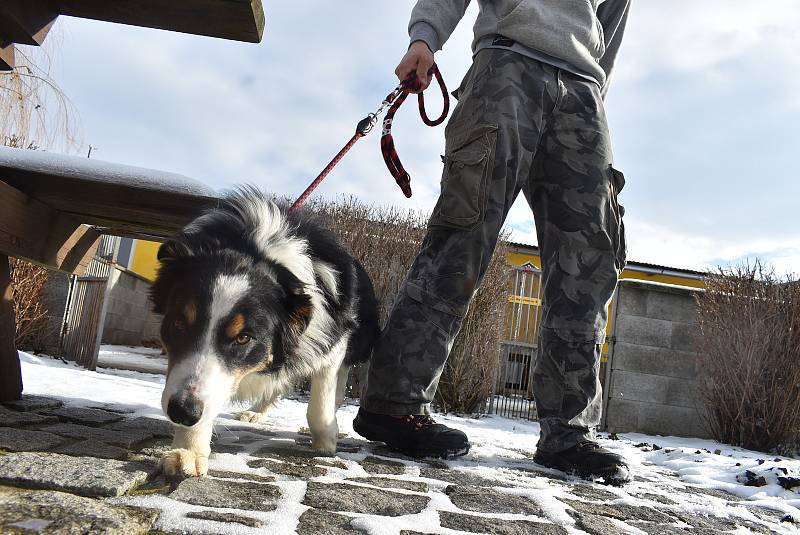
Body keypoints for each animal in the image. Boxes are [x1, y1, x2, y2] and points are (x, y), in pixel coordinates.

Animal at [151, 188, 382, 478]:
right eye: (179, 322)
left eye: (243, 338)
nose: (182, 412)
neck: (257, 248)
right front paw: (189, 451)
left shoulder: (331, 341)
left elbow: (320, 403)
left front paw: (326, 441)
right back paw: (256, 412)